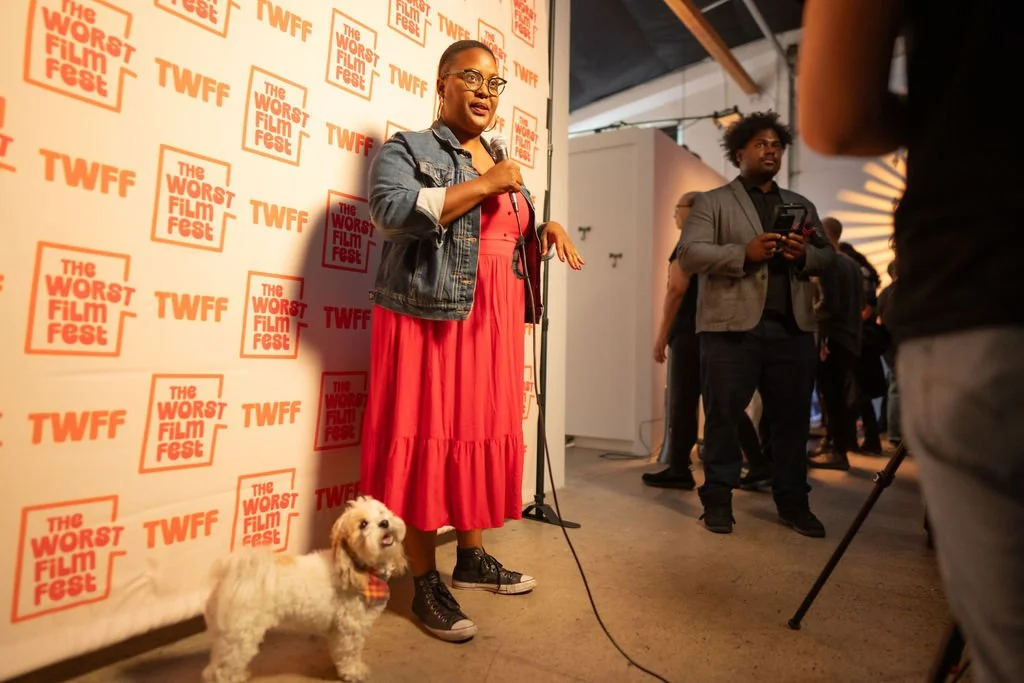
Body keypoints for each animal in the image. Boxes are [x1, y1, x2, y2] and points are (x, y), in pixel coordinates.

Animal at [202, 496, 408, 683]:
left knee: (215, 666)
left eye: (382, 512)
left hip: (227, 637)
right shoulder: (350, 629)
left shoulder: (339, 630)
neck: (360, 570)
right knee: (222, 670)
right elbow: (349, 655)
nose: (384, 522)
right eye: (363, 524)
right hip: (241, 636)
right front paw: (354, 672)